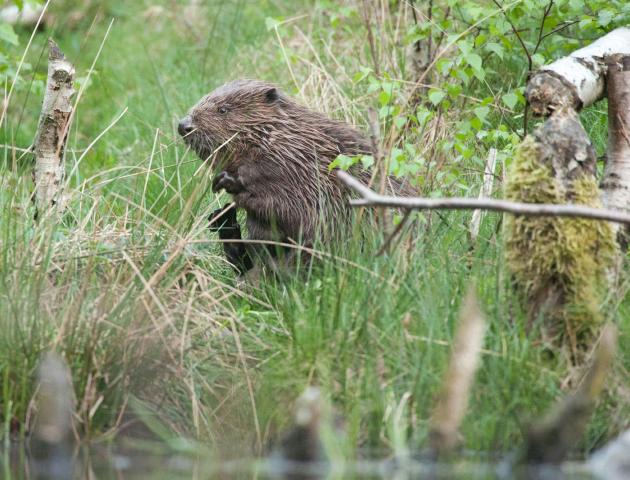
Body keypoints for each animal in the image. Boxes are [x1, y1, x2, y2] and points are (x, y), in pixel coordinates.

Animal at [179, 80, 390, 272]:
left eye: (223, 109)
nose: (183, 125)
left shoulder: (303, 171)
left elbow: (298, 213)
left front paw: (226, 183)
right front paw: (220, 211)